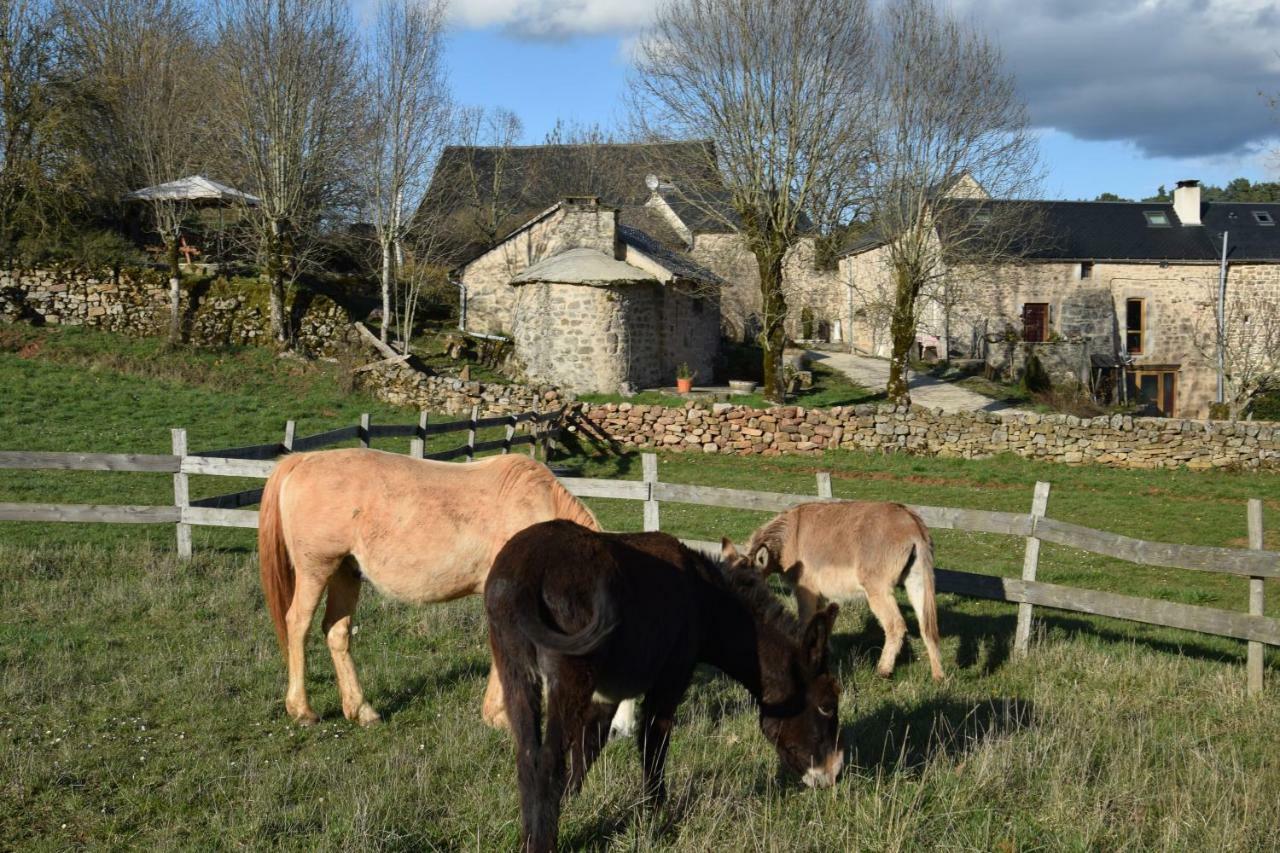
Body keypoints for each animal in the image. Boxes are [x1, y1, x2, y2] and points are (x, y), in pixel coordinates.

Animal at [259, 445, 604, 722]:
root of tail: (303, 460)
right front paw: (499, 716)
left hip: (346, 572)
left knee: (336, 632)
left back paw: (362, 710)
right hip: (315, 570)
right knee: (298, 625)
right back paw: (302, 710)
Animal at [483, 517, 844, 850]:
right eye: (828, 705)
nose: (832, 774)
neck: (705, 600)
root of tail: (529, 570)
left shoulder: (607, 692)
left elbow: (589, 745)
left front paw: (572, 801)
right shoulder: (671, 677)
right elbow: (652, 743)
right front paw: (655, 815)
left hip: (515, 669)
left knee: (527, 755)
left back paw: (531, 837)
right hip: (570, 671)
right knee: (546, 761)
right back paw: (543, 845)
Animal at [747, 502, 947, 681]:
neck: (788, 537)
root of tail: (912, 522)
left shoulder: (805, 590)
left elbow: (806, 620)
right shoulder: (818, 595)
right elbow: (822, 621)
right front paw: (826, 653)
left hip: (878, 589)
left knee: (895, 625)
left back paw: (882, 671)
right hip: (917, 581)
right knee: (928, 628)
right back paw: (938, 677)